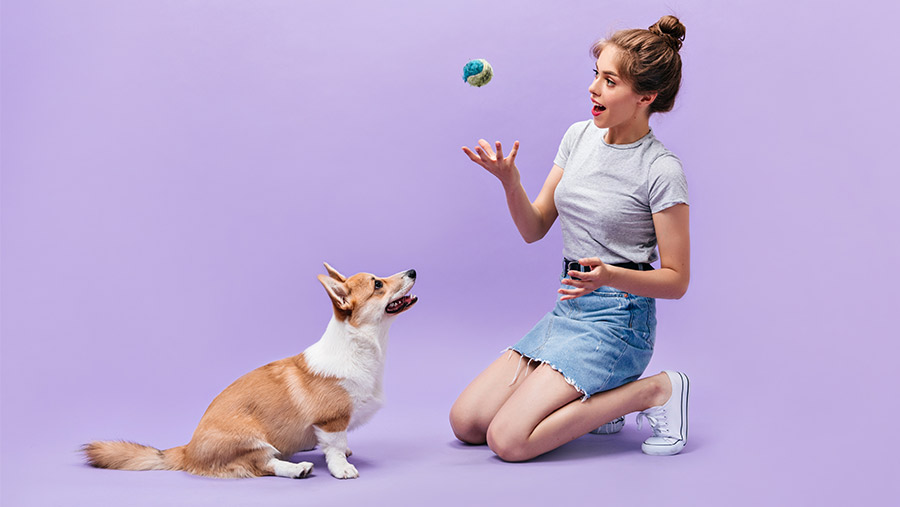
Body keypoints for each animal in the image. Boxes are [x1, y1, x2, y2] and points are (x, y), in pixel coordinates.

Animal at [84, 264, 418, 482]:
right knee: (262, 465)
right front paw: (342, 469)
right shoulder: (331, 420)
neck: (359, 345)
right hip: (251, 440)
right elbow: (334, 447)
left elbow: (340, 444)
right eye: (377, 285)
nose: (413, 272)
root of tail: (187, 450)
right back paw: (296, 469)